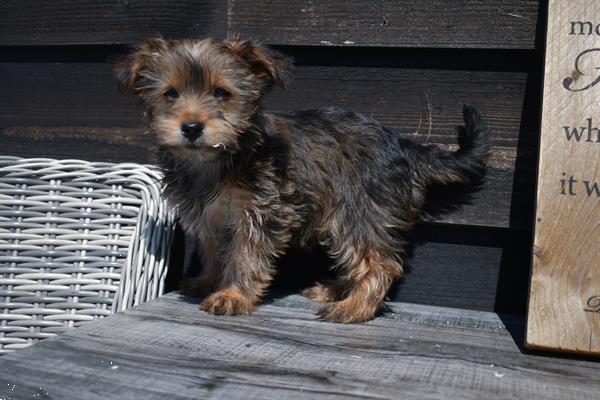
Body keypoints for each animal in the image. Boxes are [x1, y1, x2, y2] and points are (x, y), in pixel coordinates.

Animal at [115, 37, 490, 324]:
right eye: (170, 94)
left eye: (222, 94)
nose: (191, 127)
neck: (216, 160)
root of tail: (403, 144)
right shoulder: (209, 217)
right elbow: (213, 251)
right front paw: (208, 281)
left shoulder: (262, 214)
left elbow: (244, 257)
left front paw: (232, 295)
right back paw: (335, 290)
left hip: (358, 211)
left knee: (379, 262)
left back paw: (354, 308)